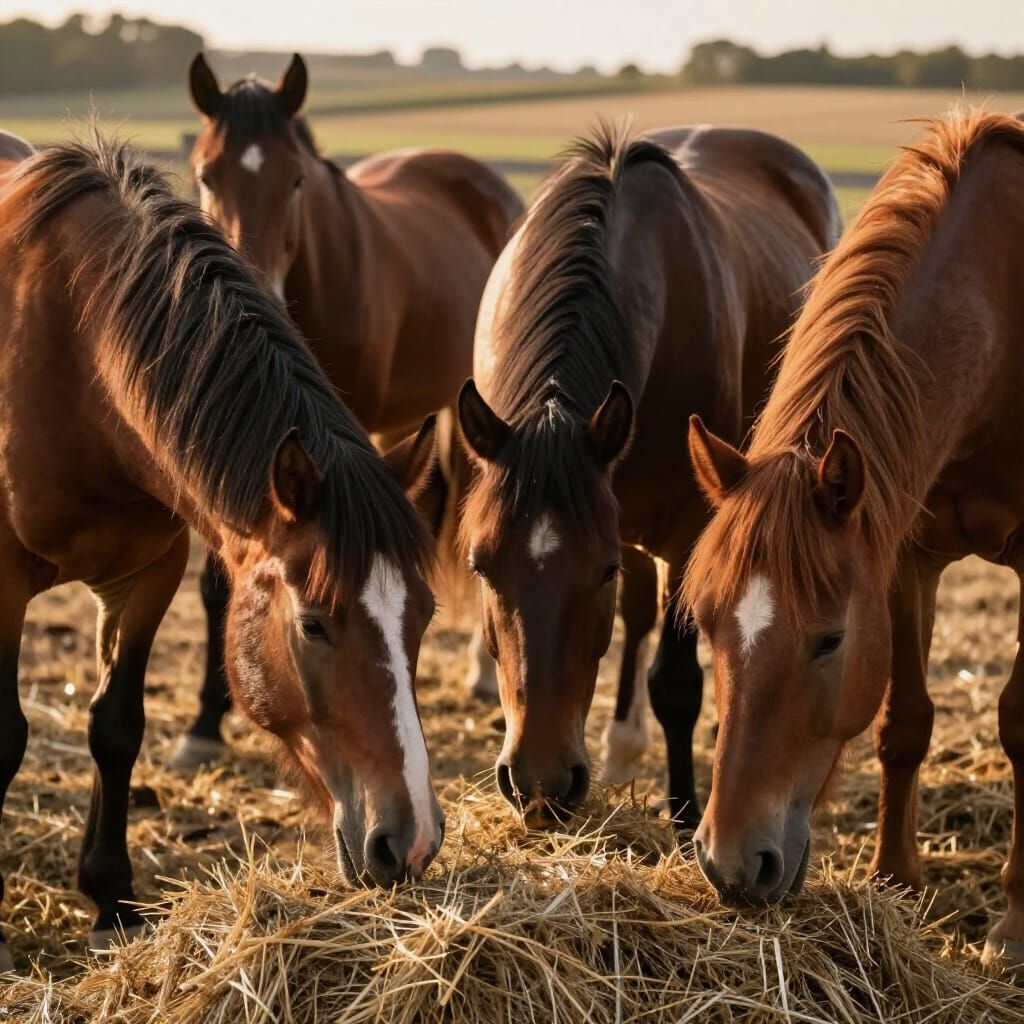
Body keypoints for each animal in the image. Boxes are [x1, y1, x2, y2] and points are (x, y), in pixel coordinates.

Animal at [0, 131, 444, 967]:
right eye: (313, 625)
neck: (69, 352)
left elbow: (117, 726)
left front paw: (112, 898)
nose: (412, 842)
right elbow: (7, 738)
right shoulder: (3, 584)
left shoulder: (149, 575)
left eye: (424, 619)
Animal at [456, 123, 839, 827]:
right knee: (636, 619)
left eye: (599, 570)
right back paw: (622, 745)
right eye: (480, 567)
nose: (541, 784)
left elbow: (677, 682)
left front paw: (685, 812)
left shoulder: (688, 526)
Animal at [683, 110, 1024, 967]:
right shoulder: (903, 553)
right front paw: (893, 881)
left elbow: (1017, 721)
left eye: (829, 639)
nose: (733, 864)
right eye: (706, 625)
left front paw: (1012, 923)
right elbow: (904, 722)